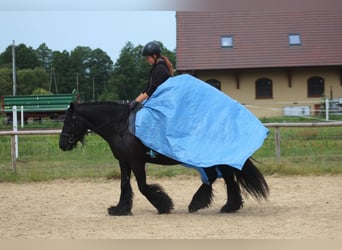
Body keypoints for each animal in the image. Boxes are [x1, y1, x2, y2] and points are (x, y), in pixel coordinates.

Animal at [58, 101, 268, 215]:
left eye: (67, 120)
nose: (62, 145)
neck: (121, 127)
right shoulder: (123, 162)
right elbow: (124, 185)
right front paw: (120, 209)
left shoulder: (137, 162)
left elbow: (143, 186)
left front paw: (163, 205)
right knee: (220, 177)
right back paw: (214, 204)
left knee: (223, 177)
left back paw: (218, 205)